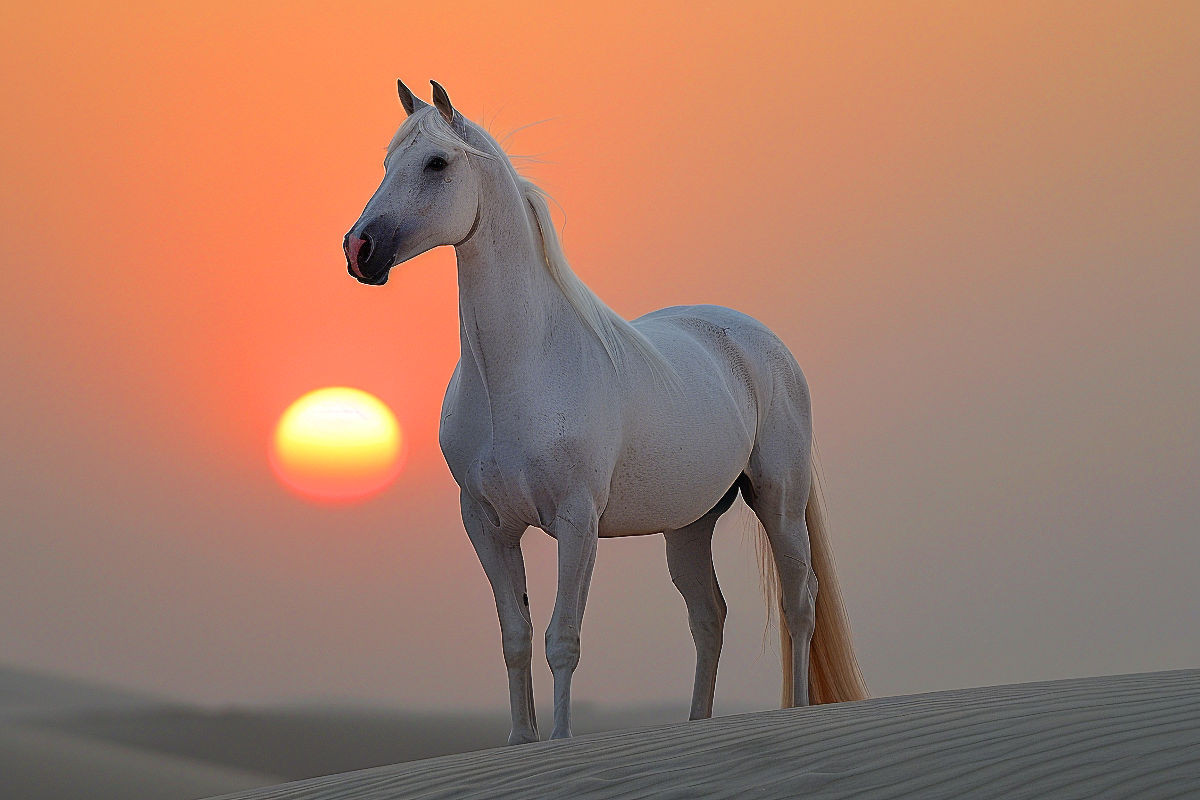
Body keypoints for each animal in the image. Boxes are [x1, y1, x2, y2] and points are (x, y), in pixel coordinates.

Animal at [343, 81, 868, 743]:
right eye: (388, 165)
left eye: (436, 163)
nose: (359, 249)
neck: (520, 369)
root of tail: (761, 342)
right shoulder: (486, 524)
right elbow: (515, 637)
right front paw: (521, 742)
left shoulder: (576, 519)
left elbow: (562, 639)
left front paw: (560, 741)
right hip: (690, 523)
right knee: (709, 616)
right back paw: (697, 724)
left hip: (779, 499)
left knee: (799, 601)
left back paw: (797, 713)